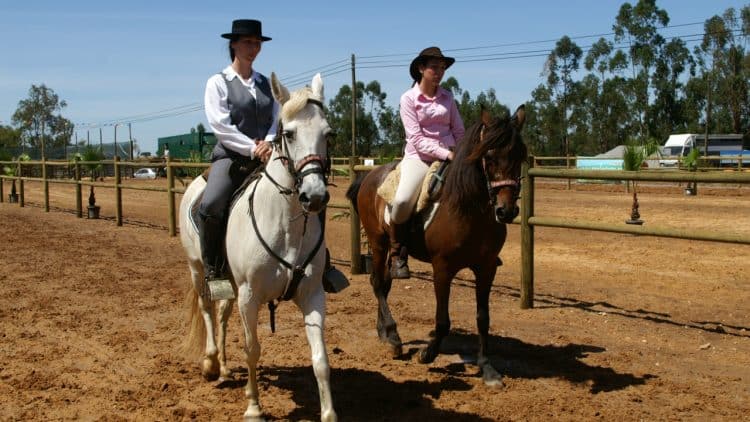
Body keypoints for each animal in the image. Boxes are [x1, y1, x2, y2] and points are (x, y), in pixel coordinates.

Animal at [181, 73, 336, 422]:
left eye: (328, 133)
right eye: (289, 133)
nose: (315, 196)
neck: (286, 226)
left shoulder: (312, 295)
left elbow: (321, 360)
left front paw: (328, 413)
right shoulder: (250, 297)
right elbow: (252, 349)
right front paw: (253, 407)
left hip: (230, 284)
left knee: (222, 314)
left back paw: (225, 366)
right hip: (198, 271)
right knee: (207, 309)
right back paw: (211, 363)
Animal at [348, 105, 528, 386]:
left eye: (520, 154)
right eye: (488, 156)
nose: (506, 211)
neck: (467, 210)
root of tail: (370, 177)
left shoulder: (486, 268)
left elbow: (483, 318)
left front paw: (487, 368)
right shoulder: (443, 269)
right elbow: (443, 321)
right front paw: (427, 354)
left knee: (385, 283)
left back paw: (384, 334)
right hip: (378, 243)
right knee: (377, 283)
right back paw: (394, 338)